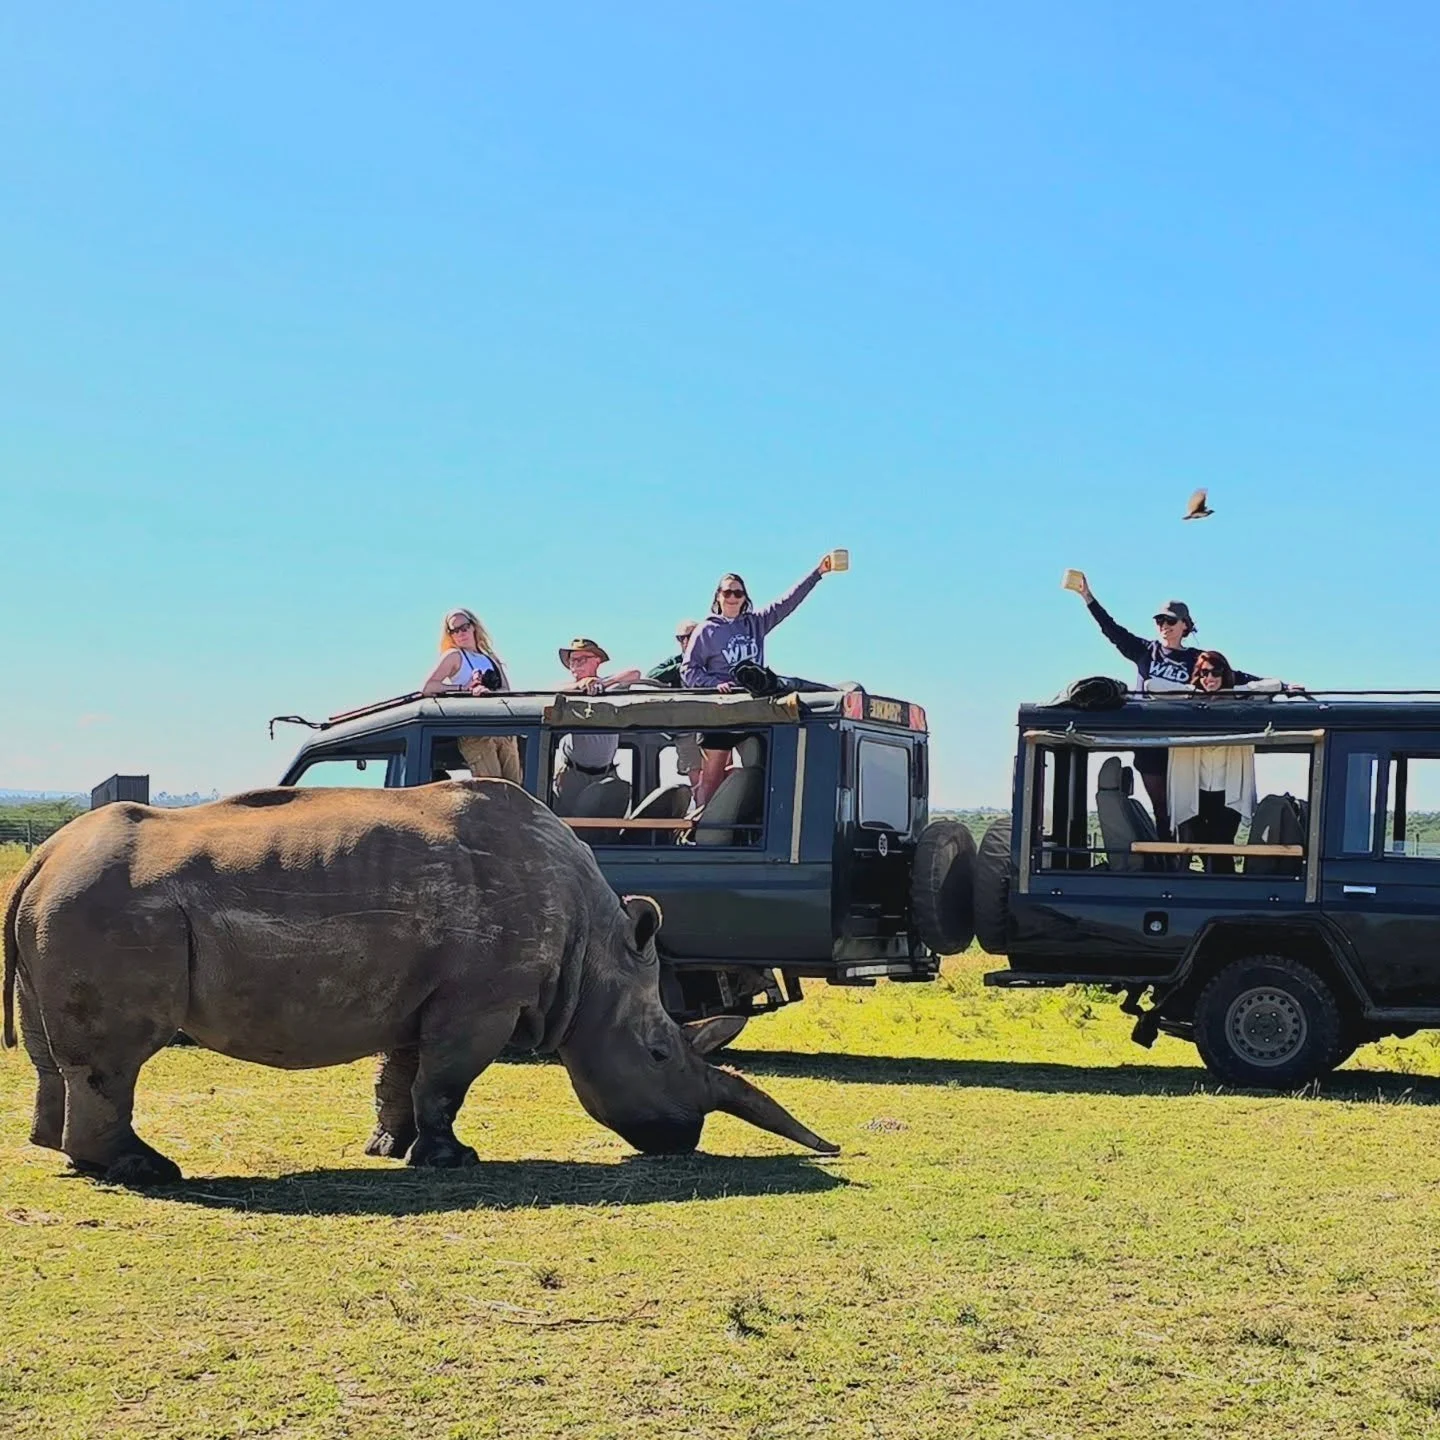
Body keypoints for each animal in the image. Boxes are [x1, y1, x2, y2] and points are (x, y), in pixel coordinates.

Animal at [2, 780, 837, 1185]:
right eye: (660, 1055)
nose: (683, 1141)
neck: (592, 952)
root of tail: (39, 859)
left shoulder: (420, 993)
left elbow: (401, 1073)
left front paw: (386, 1148)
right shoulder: (482, 1001)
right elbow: (446, 1081)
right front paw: (451, 1160)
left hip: (67, 900)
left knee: (58, 1059)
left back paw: (72, 1159)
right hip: (104, 906)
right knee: (116, 1059)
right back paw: (147, 1172)